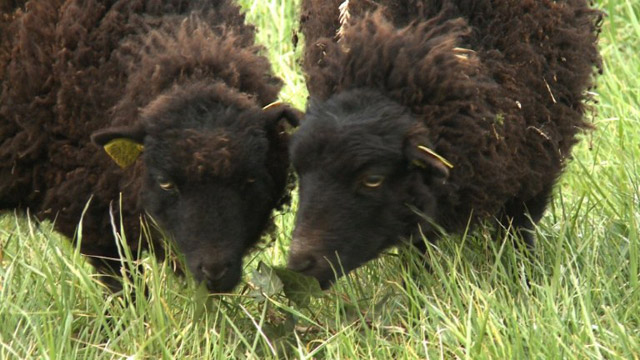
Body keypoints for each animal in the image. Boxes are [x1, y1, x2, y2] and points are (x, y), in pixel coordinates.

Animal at [288, 0, 604, 286]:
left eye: (373, 179)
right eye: (298, 172)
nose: (299, 264)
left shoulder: (537, 158)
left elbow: (518, 228)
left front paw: (523, 280)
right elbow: (418, 241)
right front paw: (421, 287)